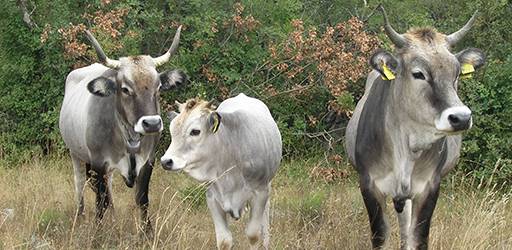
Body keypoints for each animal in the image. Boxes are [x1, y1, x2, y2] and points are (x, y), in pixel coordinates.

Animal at [59, 25, 188, 232]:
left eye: (158, 87)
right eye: (126, 89)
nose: (152, 123)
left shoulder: (148, 161)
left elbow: (142, 199)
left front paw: (147, 233)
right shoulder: (98, 163)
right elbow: (100, 202)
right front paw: (98, 232)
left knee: (109, 190)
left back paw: (113, 216)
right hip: (76, 154)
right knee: (80, 187)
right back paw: (80, 217)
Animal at [160, 94, 282, 250]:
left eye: (195, 131)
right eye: (171, 130)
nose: (166, 161)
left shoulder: (260, 193)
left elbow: (253, 235)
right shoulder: (213, 197)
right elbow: (224, 241)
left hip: (268, 185)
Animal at [346, 6, 486, 249]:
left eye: (457, 74)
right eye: (418, 73)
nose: (461, 117)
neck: (406, 147)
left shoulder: (429, 187)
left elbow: (418, 237)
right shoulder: (369, 184)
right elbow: (380, 237)